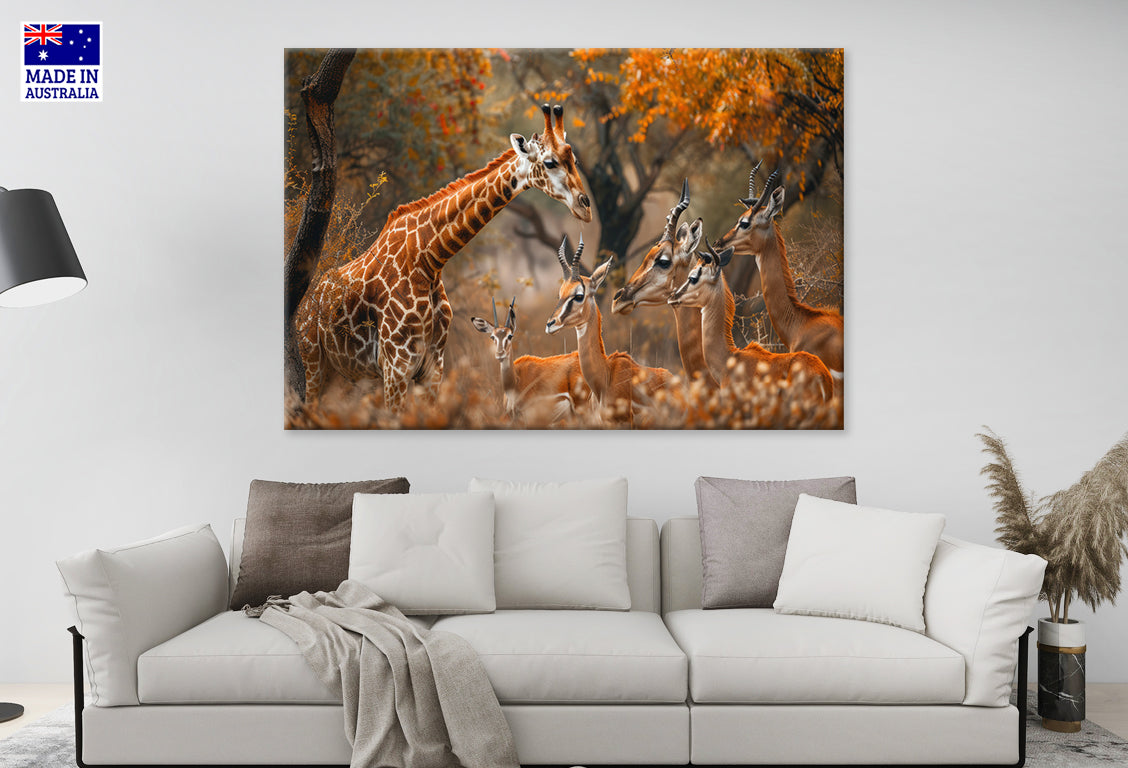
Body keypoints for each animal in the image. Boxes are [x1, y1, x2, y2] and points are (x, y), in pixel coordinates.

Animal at [295, 104, 592, 410]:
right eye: (550, 162)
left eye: (574, 159)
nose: (585, 207)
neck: (429, 260)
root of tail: (306, 302)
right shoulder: (396, 365)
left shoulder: (433, 365)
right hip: (314, 362)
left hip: (345, 375)